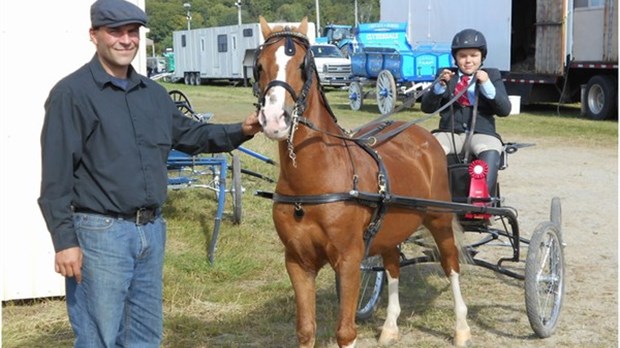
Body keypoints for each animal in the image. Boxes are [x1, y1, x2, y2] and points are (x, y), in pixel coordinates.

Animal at [254, 17, 472, 346]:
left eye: (304, 65)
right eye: (259, 65)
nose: (275, 119)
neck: (312, 186)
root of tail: (421, 135)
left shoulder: (348, 260)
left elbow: (345, 331)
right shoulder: (297, 262)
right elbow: (305, 329)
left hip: (439, 219)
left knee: (451, 265)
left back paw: (461, 327)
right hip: (391, 228)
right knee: (393, 266)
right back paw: (391, 326)